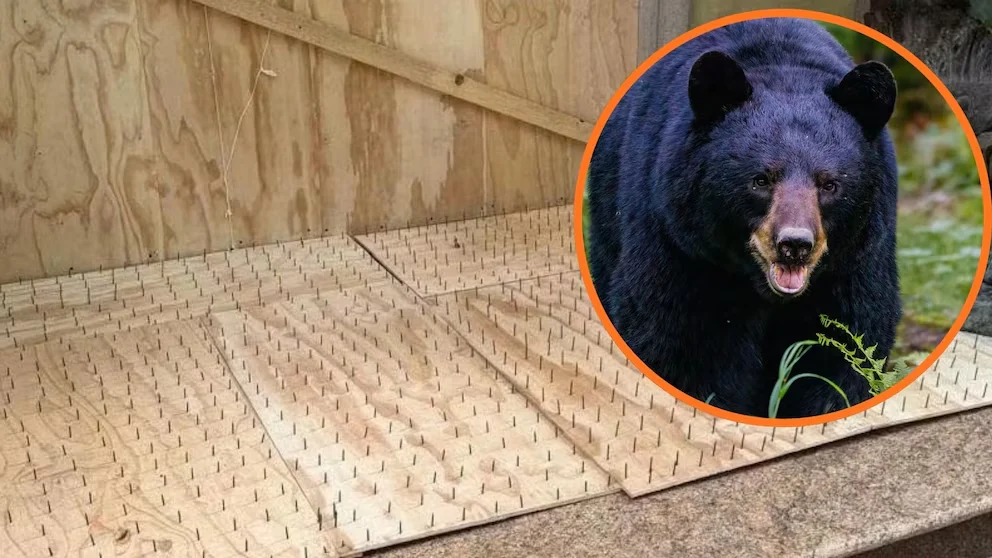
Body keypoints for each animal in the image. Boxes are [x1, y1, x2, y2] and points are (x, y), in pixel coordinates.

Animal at [585, 17, 902, 418]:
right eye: (761, 179)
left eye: (830, 184)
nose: (794, 244)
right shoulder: (680, 245)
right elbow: (680, 341)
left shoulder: (855, 260)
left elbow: (847, 348)